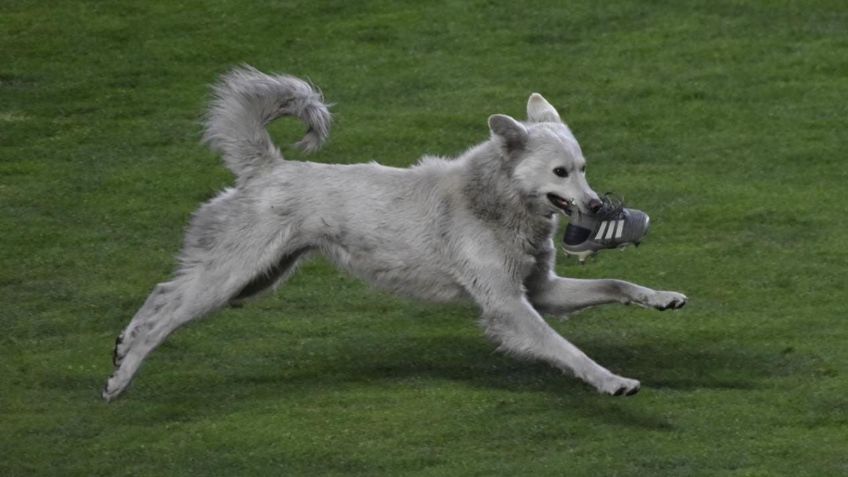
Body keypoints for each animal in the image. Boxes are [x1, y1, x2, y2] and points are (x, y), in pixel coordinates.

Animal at [102, 66, 688, 402]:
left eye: (583, 168)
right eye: (561, 173)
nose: (596, 206)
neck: (494, 200)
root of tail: (268, 168)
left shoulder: (540, 291)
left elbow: (616, 285)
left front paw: (663, 297)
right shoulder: (509, 307)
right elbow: (568, 351)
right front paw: (612, 382)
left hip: (253, 280)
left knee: (165, 292)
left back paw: (121, 345)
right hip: (232, 277)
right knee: (167, 309)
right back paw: (120, 376)